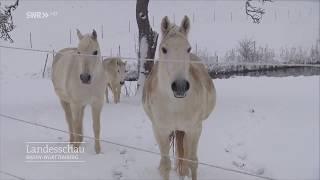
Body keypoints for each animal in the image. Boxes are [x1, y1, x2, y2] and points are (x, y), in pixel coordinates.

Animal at [143, 15, 216, 180]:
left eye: (188, 49)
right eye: (164, 49)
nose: (180, 86)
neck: (175, 105)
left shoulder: (194, 130)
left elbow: (192, 162)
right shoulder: (160, 131)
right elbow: (165, 165)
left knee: (185, 159)